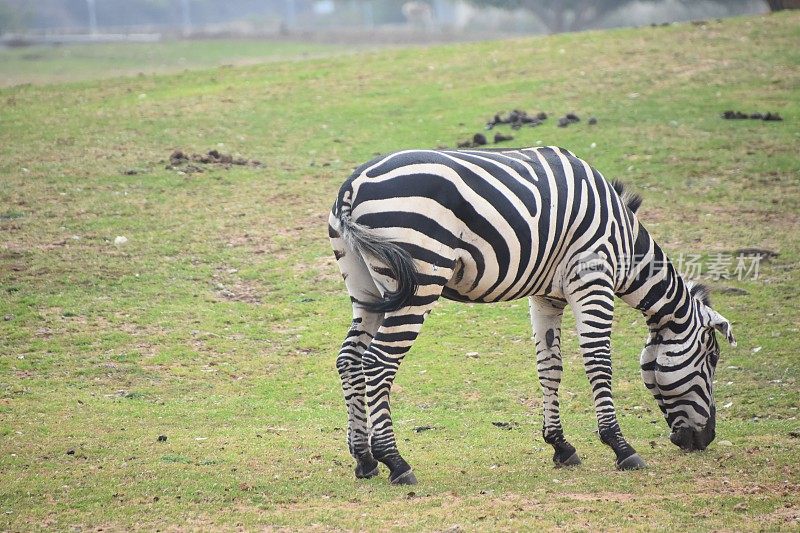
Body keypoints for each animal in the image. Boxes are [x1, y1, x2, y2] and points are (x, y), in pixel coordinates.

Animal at [326, 147, 736, 486]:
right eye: (712, 359)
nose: (705, 440)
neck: (623, 241)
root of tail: (352, 186)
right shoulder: (592, 279)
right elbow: (598, 363)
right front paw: (621, 447)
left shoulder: (546, 297)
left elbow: (550, 367)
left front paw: (561, 446)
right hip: (419, 280)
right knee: (378, 362)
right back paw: (395, 462)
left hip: (367, 290)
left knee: (349, 359)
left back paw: (364, 459)